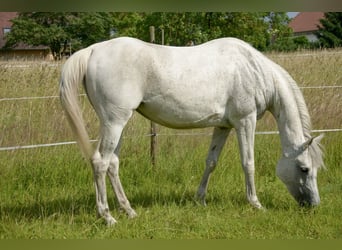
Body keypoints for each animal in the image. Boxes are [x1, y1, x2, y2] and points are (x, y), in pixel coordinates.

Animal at [60, 37, 324, 227]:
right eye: (304, 168)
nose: (313, 205)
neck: (253, 69)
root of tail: (93, 50)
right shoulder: (245, 122)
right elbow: (248, 163)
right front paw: (255, 204)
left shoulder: (223, 126)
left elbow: (211, 162)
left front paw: (200, 199)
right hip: (115, 122)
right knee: (100, 162)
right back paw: (107, 217)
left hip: (117, 123)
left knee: (113, 163)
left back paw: (129, 211)